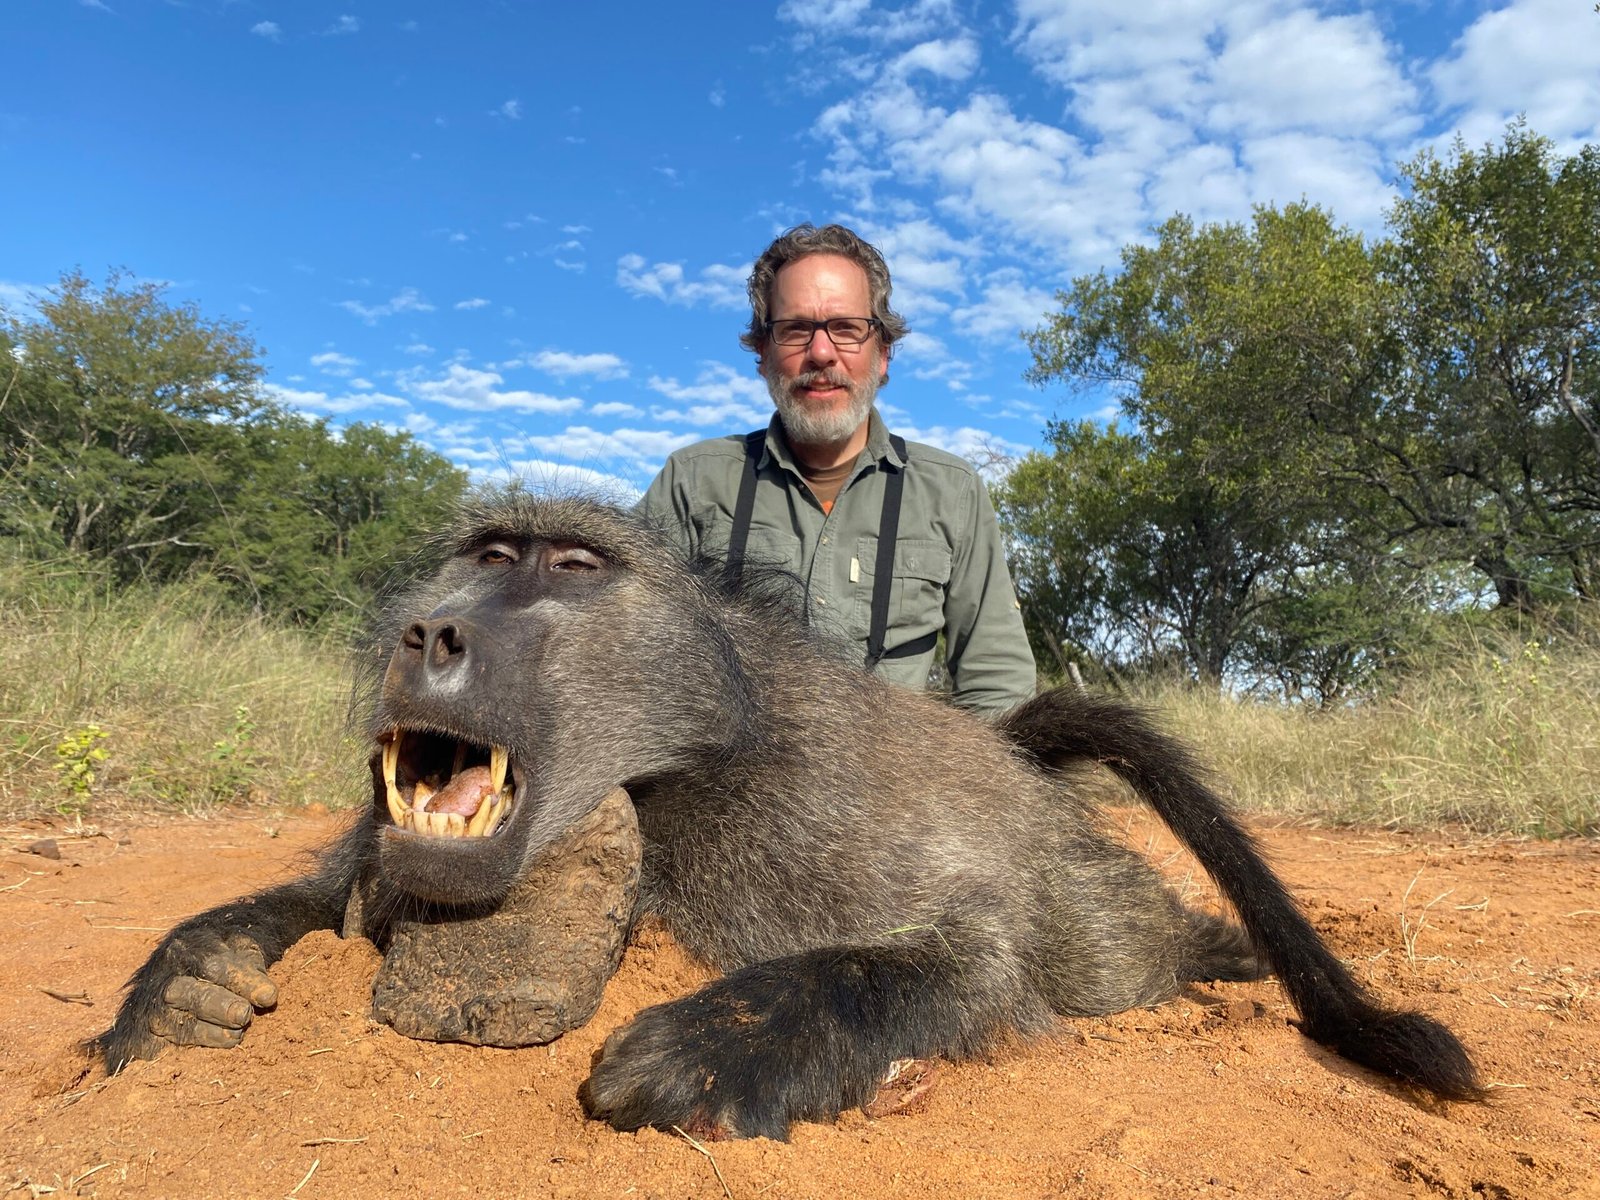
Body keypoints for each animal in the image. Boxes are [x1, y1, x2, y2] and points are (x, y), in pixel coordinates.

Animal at [91, 491, 1483, 1139]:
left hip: (1083, 892)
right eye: (486, 556)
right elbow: (315, 896)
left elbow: (966, 959)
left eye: (572, 568)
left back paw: (1223, 952)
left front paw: (705, 1047)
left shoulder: (811, 814)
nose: (428, 633)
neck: (669, 777)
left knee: (1105, 948)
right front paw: (187, 984)